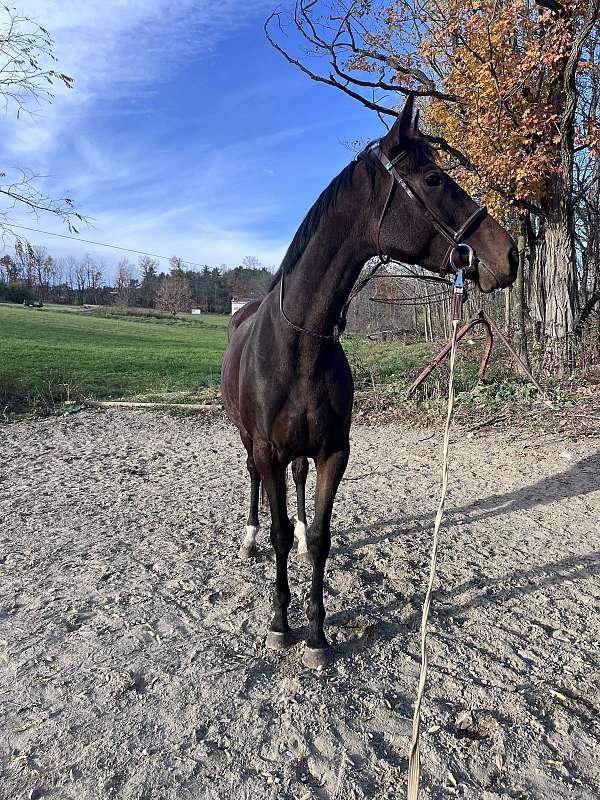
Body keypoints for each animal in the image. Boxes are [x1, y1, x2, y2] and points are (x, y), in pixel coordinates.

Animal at [220, 94, 516, 668]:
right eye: (433, 178)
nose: (508, 253)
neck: (300, 345)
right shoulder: (268, 449)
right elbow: (280, 533)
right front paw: (280, 624)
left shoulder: (334, 451)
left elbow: (318, 536)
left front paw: (316, 634)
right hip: (250, 442)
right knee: (254, 483)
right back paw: (247, 538)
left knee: (296, 484)